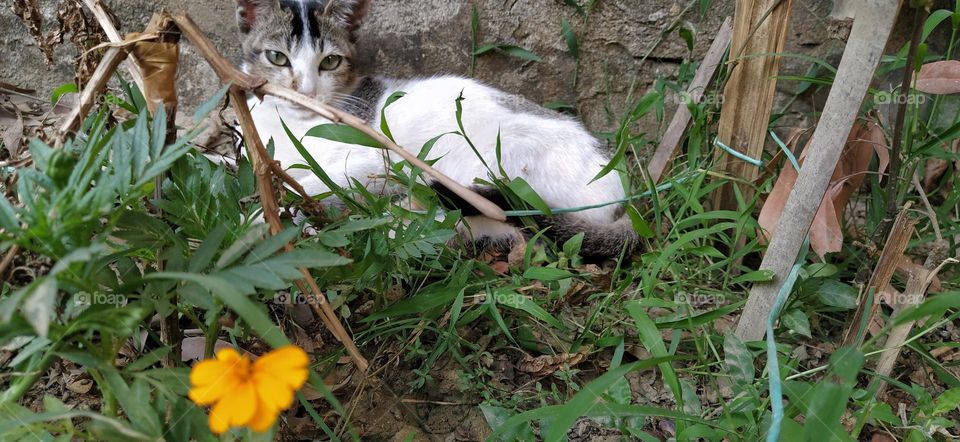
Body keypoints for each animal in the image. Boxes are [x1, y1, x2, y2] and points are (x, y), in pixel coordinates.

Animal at [234, 0, 636, 258]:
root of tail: (624, 193)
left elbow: (308, 184)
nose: (304, 91)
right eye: (277, 57)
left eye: (329, 62)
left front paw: (254, 222)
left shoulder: (372, 157)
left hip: (476, 160)